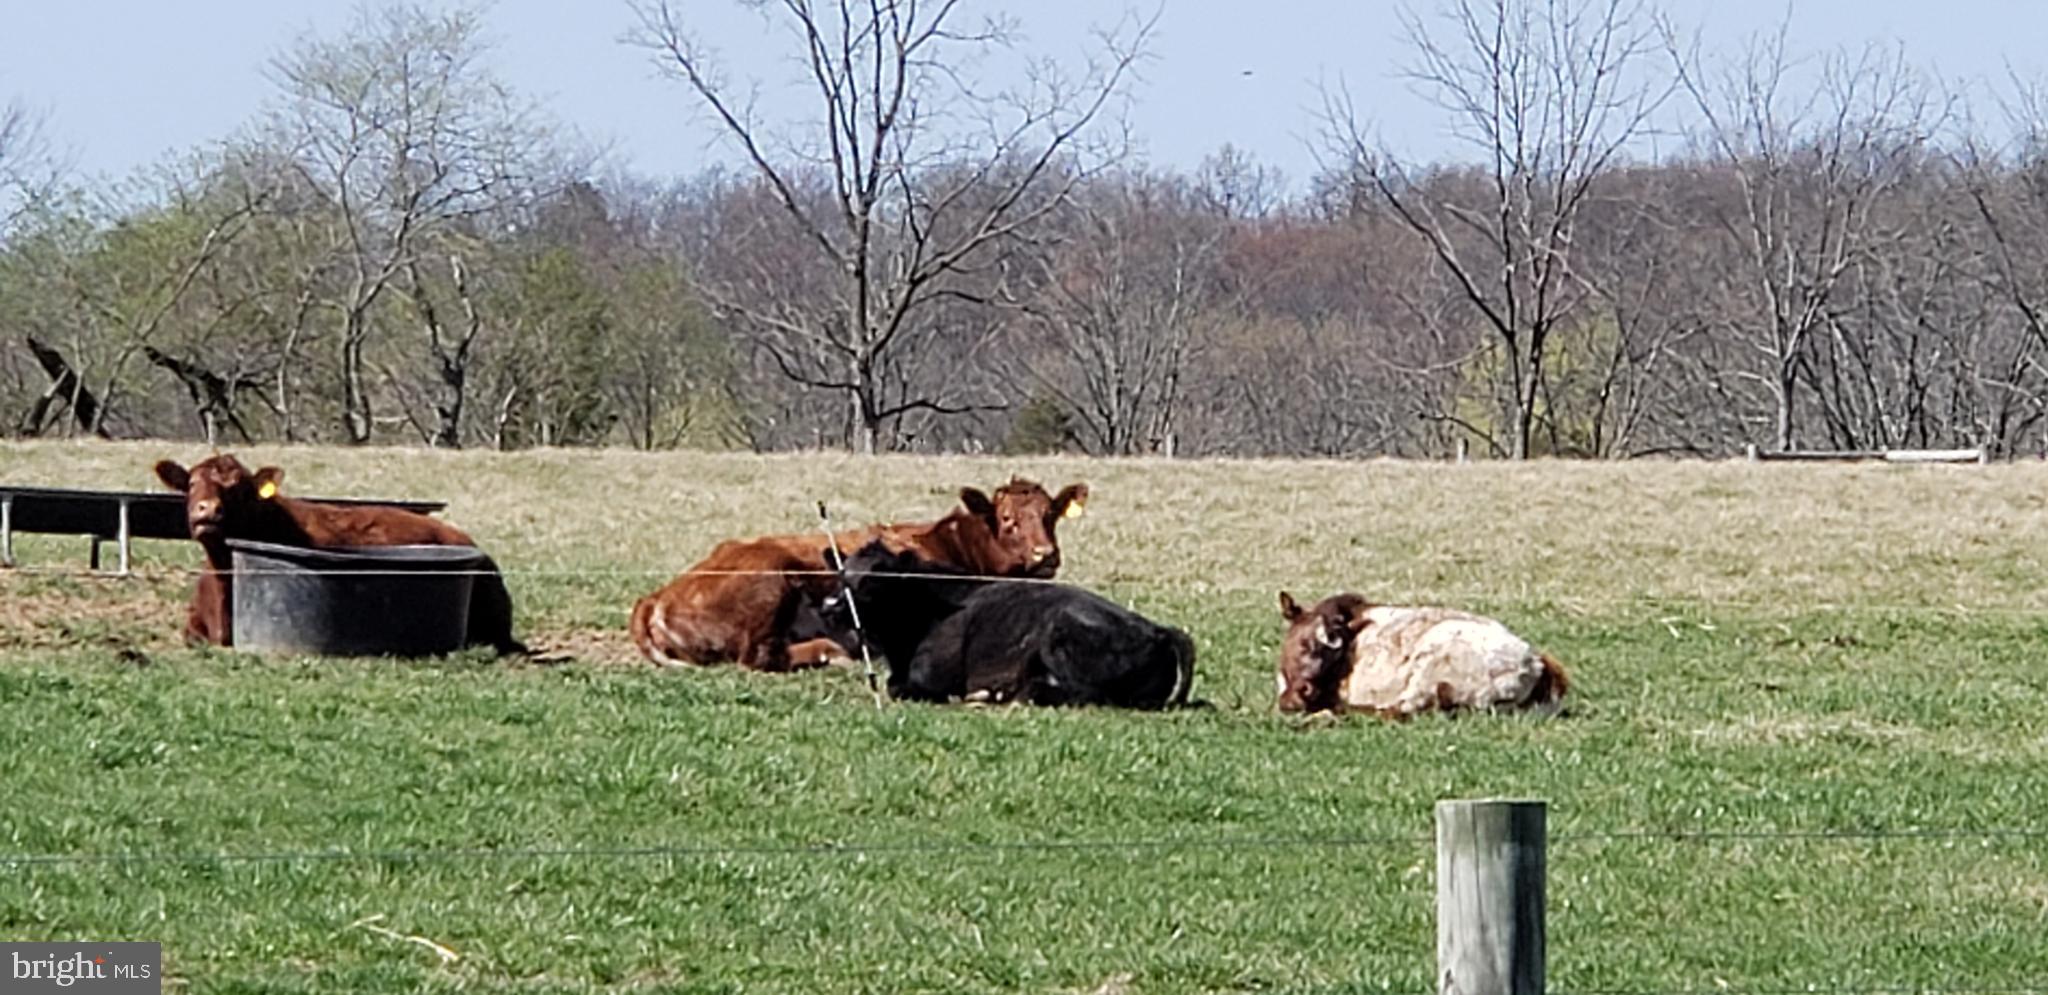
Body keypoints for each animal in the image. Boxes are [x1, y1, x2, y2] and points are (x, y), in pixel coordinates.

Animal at [628, 477, 1088, 672]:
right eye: (1007, 520)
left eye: (1050, 515)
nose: (1045, 555)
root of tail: (657, 596)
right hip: (771, 582)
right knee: (758, 657)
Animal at [821, 540, 1196, 709]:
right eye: (840, 574)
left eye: (874, 581)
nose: (831, 609)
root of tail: (1160, 631)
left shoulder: (933, 678)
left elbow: (899, 688)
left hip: (1060, 633)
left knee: (1085, 694)